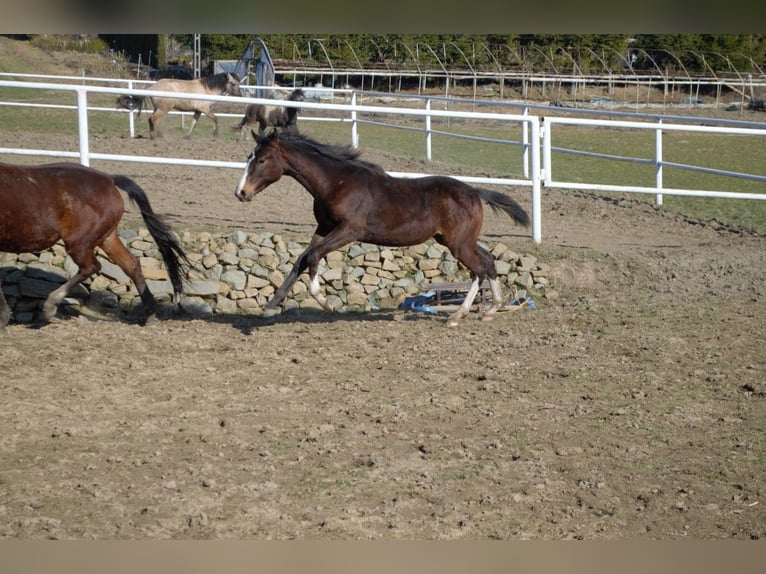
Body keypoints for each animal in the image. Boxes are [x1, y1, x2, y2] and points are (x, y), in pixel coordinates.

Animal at [0, 161, 189, 332]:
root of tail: (109, 179)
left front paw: (3, 319)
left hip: (79, 243)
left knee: (92, 266)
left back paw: (49, 307)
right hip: (107, 238)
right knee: (131, 264)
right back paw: (150, 314)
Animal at [234, 131, 529, 327]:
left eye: (261, 160)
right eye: (249, 157)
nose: (241, 193)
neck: (336, 182)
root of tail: (475, 192)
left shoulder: (349, 230)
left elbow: (313, 257)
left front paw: (327, 303)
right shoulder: (324, 228)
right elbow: (301, 260)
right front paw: (270, 307)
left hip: (458, 244)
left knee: (479, 269)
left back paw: (457, 316)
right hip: (456, 240)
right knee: (488, 261)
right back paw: (491, 309)